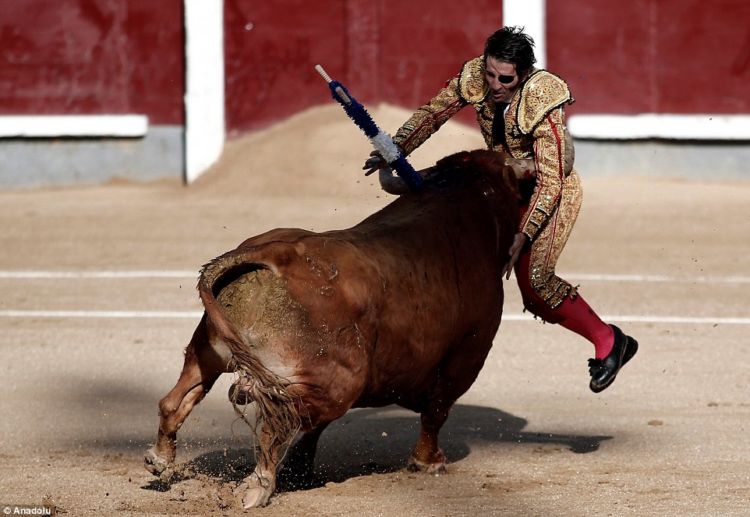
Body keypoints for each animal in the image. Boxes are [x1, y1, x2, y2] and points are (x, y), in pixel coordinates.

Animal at [147, 149, 524, 508]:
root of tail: (272, 254)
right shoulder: (468, 354)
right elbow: (437, 411)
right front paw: (427, 461)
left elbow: (316, 429)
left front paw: (301, 467)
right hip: (340, 382)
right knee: (279, 420)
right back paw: (257, 485)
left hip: (208, 352)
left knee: (178, 399)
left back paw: (161, 458)